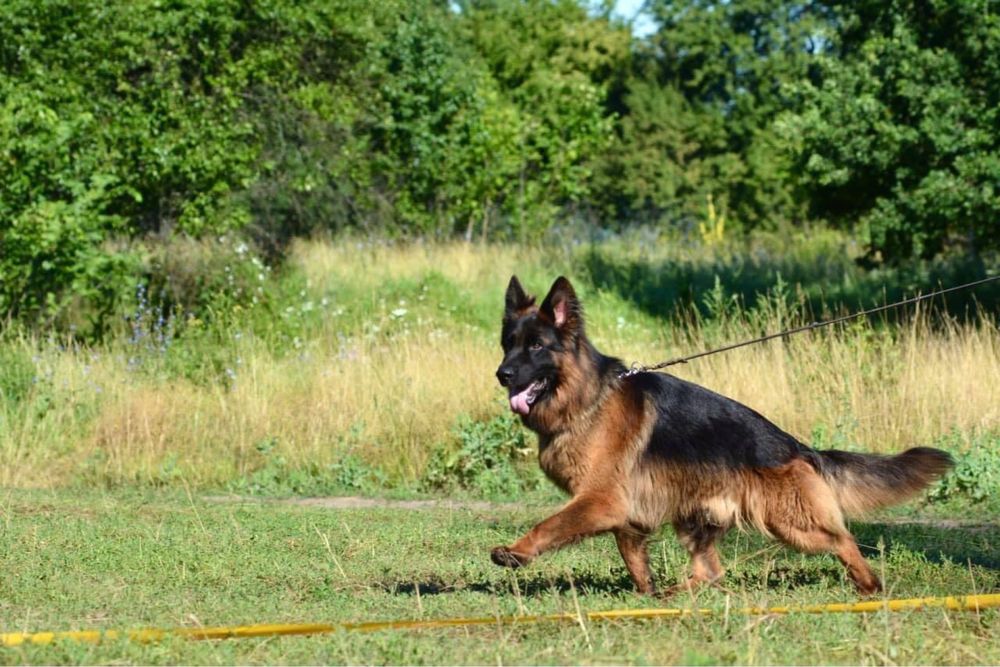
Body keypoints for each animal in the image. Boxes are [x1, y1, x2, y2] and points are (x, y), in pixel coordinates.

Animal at [492, 274, 952, 596]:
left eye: (536, 346)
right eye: (508, 344)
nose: (502, 374)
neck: (587, 398)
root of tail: (798, 447)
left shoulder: (600, 501)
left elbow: (550, 525)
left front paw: (516, 552)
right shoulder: (626, 514)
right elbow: (633, 558)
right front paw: (645, 593)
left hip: (791, 524)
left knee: (844, 540)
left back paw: (869, 585)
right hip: (694, 519)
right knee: (712, 572)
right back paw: (672, 596)